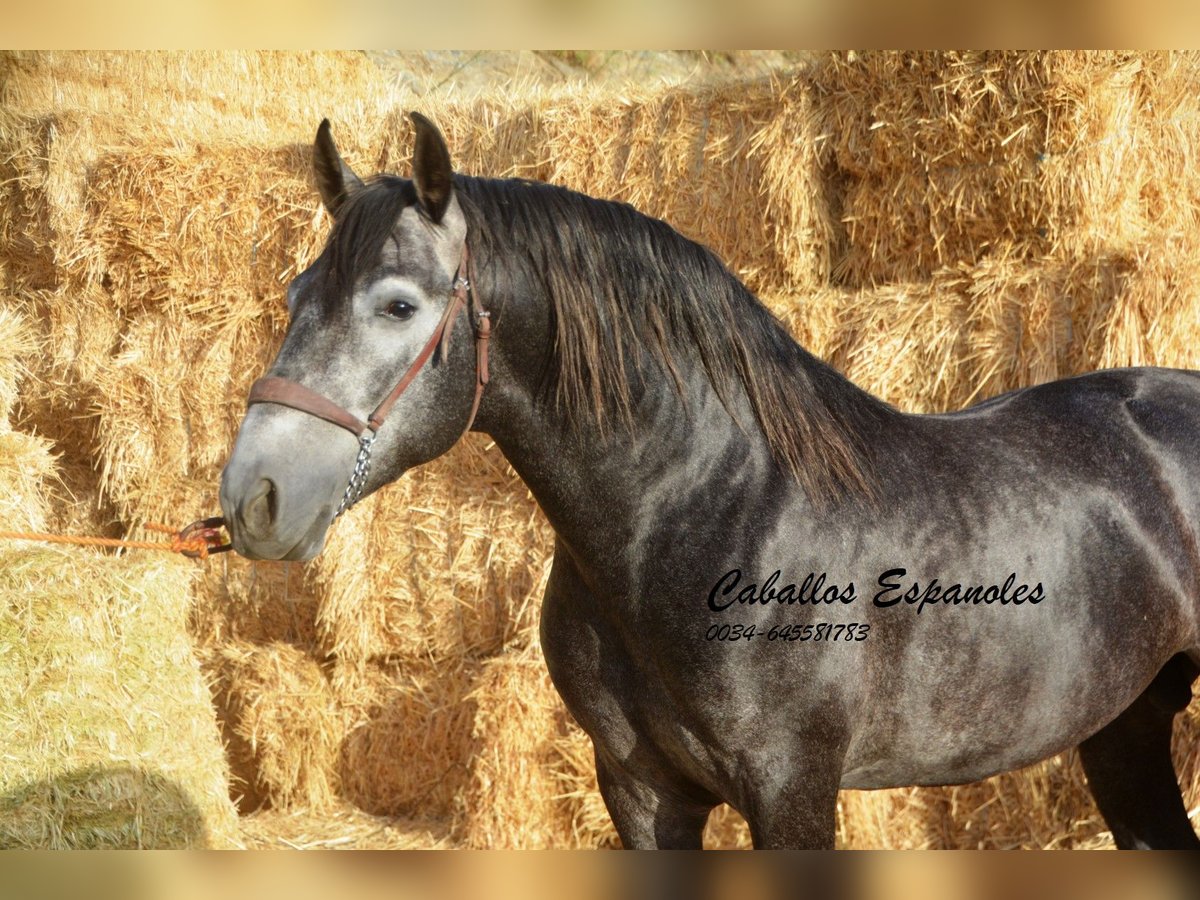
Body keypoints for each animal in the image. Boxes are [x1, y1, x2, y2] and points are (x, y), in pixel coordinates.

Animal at [219, 112, 1200, 849]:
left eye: (397, 305)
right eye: (298, 294)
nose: (253, 496)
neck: (711, 512)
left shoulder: (792, 789)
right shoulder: (641, 789)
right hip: (1125, 727)